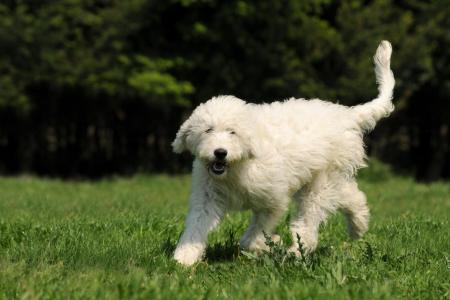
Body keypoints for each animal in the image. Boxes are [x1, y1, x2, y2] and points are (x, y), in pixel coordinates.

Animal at [171, 39, 394, 264]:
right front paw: (183, 258)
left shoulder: (273, 201)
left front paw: (271, 245)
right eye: (208, 130)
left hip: (321, 182)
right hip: (326, 179)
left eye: (232, 132)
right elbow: (196, 227)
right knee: (351, 194)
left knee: (309, 221)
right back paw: (359, 225)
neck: (239, 164)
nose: (220, 152)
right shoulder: (206, 198)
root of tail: (347, 115)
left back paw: (296, 252)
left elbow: (252, 237)